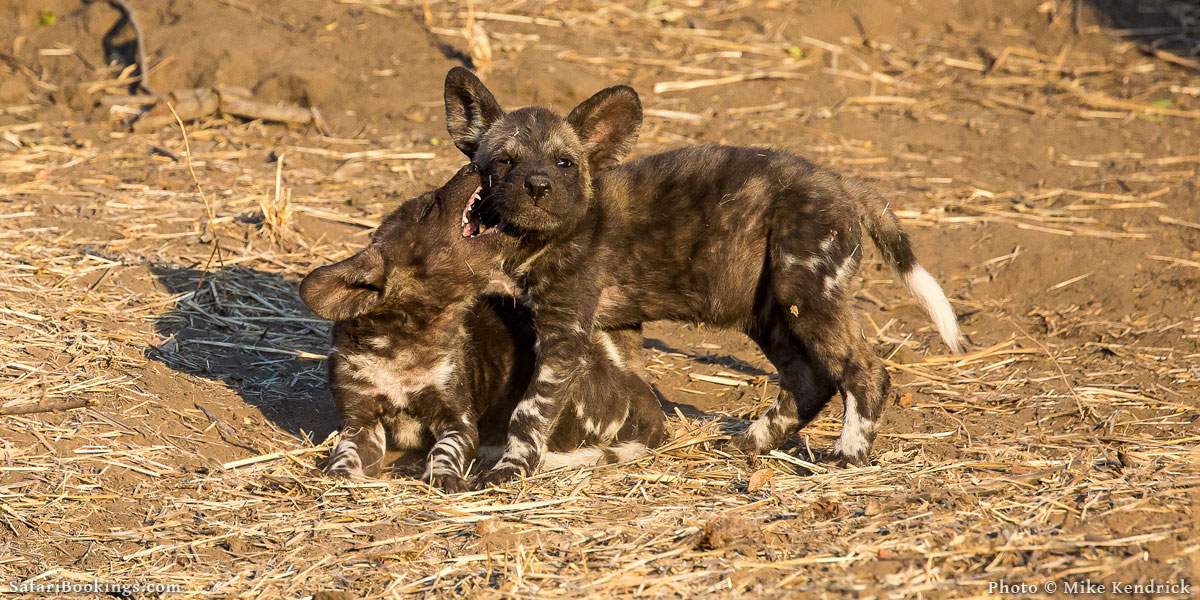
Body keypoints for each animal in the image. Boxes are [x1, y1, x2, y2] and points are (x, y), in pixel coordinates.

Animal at [298, 165, 667, 492]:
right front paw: (338, 474)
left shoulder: (458, 422)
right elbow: (346, 452)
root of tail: (636, 383)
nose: (473, 165)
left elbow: (444, 451)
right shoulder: (360, 422)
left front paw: (444, 476)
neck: (405, 343)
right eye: (428, 208)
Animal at [444, 68, 964, 484]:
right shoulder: (616, 330)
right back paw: (752, 442)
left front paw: (509, 468)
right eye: (505, 161)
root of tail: (842, 182)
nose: (537, 187)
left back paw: (848, 455)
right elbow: (633, 398)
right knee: (809, 379)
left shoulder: (563, 335)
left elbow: (529, 411)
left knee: (864, 370)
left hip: (805, 294)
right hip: (768, 312)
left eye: (563, 163)